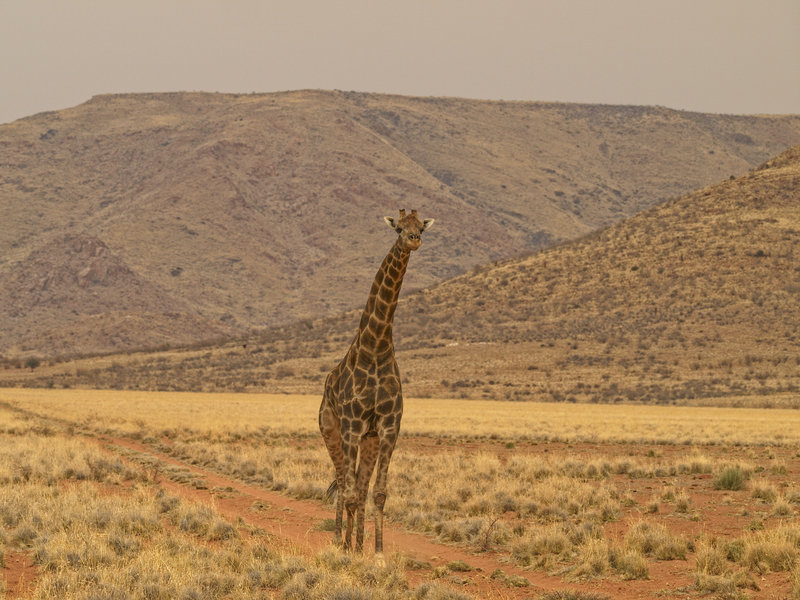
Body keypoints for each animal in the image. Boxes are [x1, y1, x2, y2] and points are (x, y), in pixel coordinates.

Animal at [319, 209, 434, 556]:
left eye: (421, 226)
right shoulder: (352, 426)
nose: (414, 239)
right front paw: (345, 549)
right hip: (332, 431)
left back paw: (356, 543)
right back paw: (339, 540)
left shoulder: (387, 427)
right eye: (398, 228)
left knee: (357, 485)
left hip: (366, 440)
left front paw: (377, 553)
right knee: (343, 483)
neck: (376, 348)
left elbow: (378, 493)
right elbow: (349, 492)